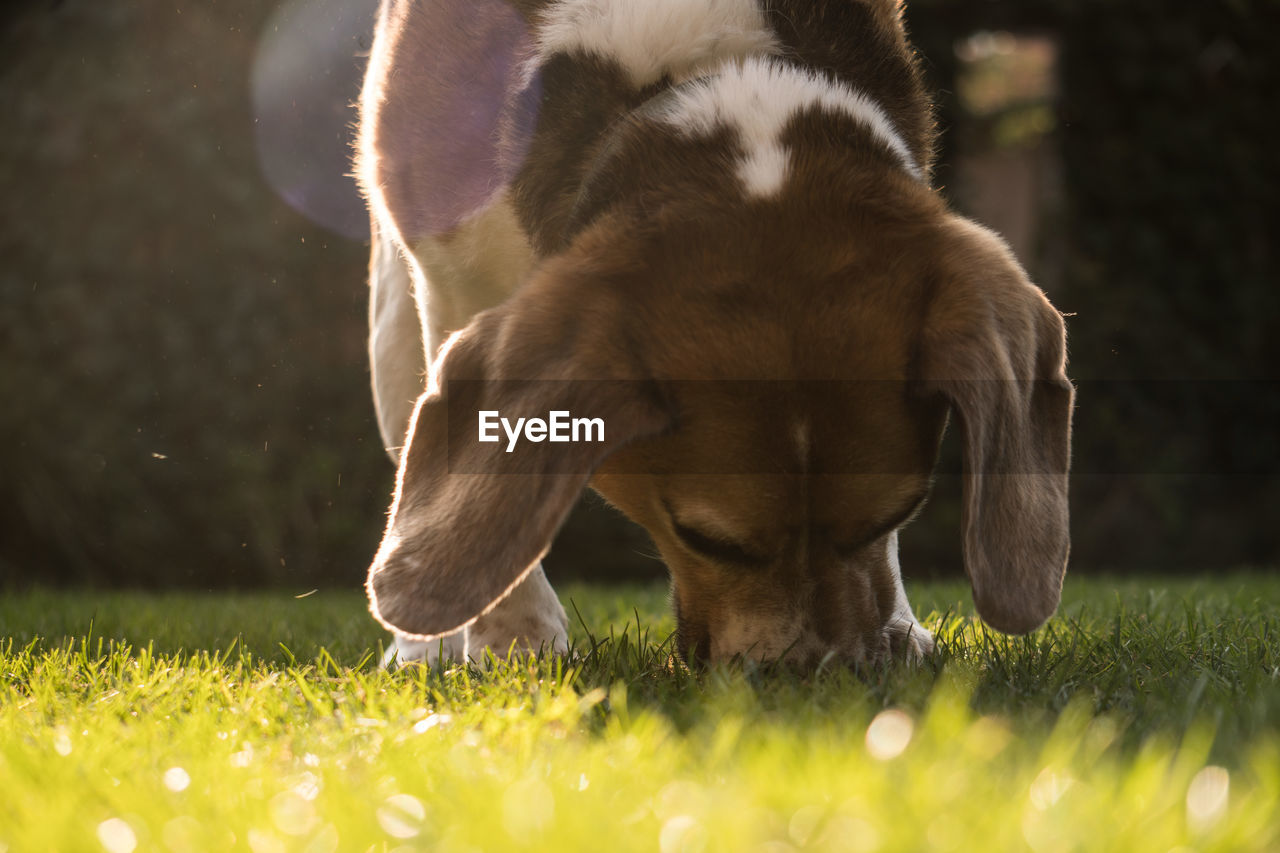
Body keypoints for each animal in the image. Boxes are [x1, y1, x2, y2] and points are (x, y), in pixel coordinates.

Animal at [355, 0, 1075, 666]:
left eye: (896, 515)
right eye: (705, 538)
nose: (818, 676)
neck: (708, 71)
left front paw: (898, 624)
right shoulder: (453, 275)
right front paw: (516, 641)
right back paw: (426, 650)